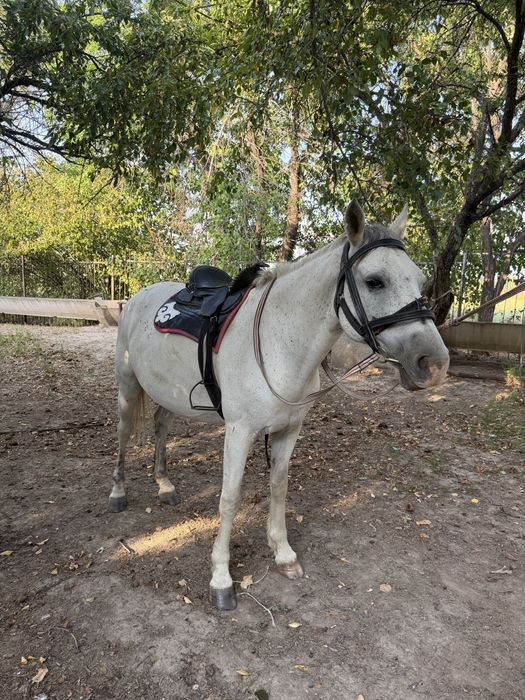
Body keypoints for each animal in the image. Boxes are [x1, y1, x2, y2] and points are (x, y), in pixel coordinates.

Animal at [110, 200, 449, 610]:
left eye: (419, 280)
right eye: (374, 281)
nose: (434, 364)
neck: (279, 343)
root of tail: (139, 297)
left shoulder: (289, 430)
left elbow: (279, 485)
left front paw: (283, 553)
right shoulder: (239, 432)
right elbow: (229, 498)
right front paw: (221, 578)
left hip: (168, 393)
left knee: (160, 426)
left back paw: (164, 485)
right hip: (128, 386)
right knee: (123, 434)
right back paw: (118, 493)